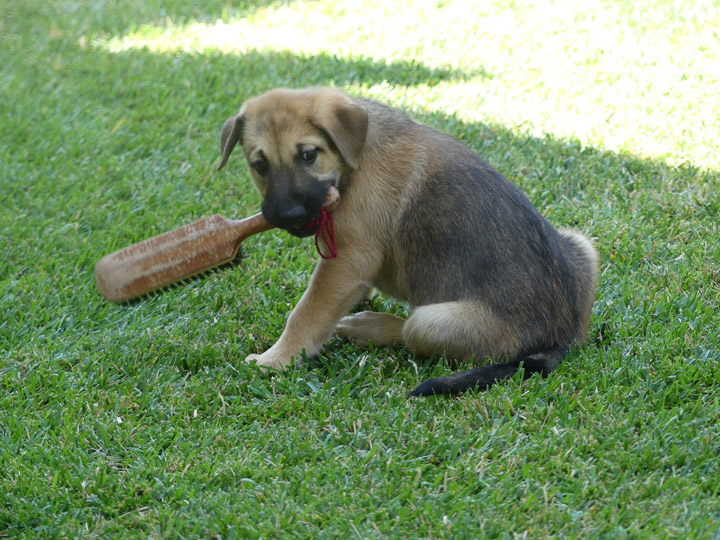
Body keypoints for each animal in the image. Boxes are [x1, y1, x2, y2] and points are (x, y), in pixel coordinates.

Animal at [217, 87, 600, 396]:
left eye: (309, 155)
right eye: (259, 165)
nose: (289, 214)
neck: (356, 156)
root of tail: (560, 339)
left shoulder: (348, 258)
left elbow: (306, 313)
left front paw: (277, 358)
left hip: (433, 320)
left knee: (410, 332)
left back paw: (369, 327)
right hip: (582, 245)